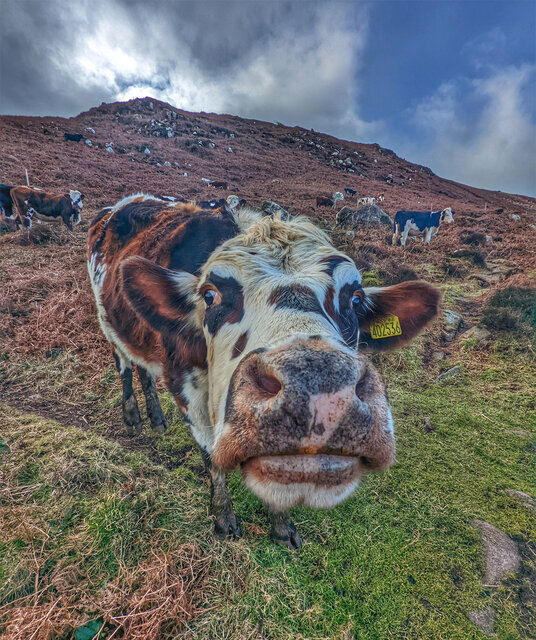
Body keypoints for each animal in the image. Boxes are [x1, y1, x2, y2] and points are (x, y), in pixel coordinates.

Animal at [87, 194, 440, 548]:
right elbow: (212, 459)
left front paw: (281, 524)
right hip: (107, 322)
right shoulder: (187, 391)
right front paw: (223, 517)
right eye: (210, 295)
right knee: (125, 365)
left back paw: (156, 418)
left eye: (355, 299)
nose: (317, 385)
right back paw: (133, 414)